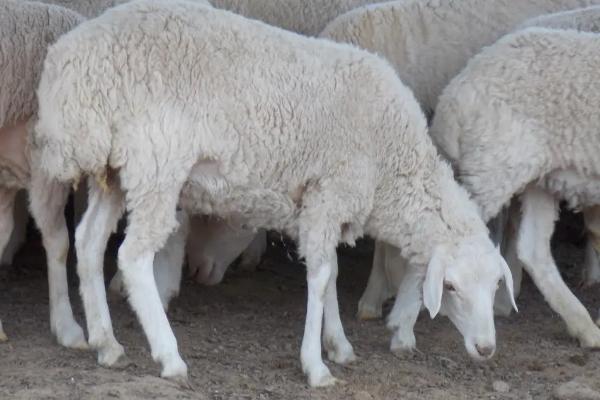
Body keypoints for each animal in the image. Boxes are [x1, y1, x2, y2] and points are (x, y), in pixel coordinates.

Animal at [34, 0, 520, 388]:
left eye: (497, 284)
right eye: (451, 287)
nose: (486, 349)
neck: (393, 162)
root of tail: (70, 67)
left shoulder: (324, 208)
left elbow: (332, 273)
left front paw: (338, 345)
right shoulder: (328, 192)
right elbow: (320, 278)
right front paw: (316, 366)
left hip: (116, 171)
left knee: (89, 242)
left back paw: (106, 342)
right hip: (157, 163)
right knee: (132, 256)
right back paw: (168, 356)